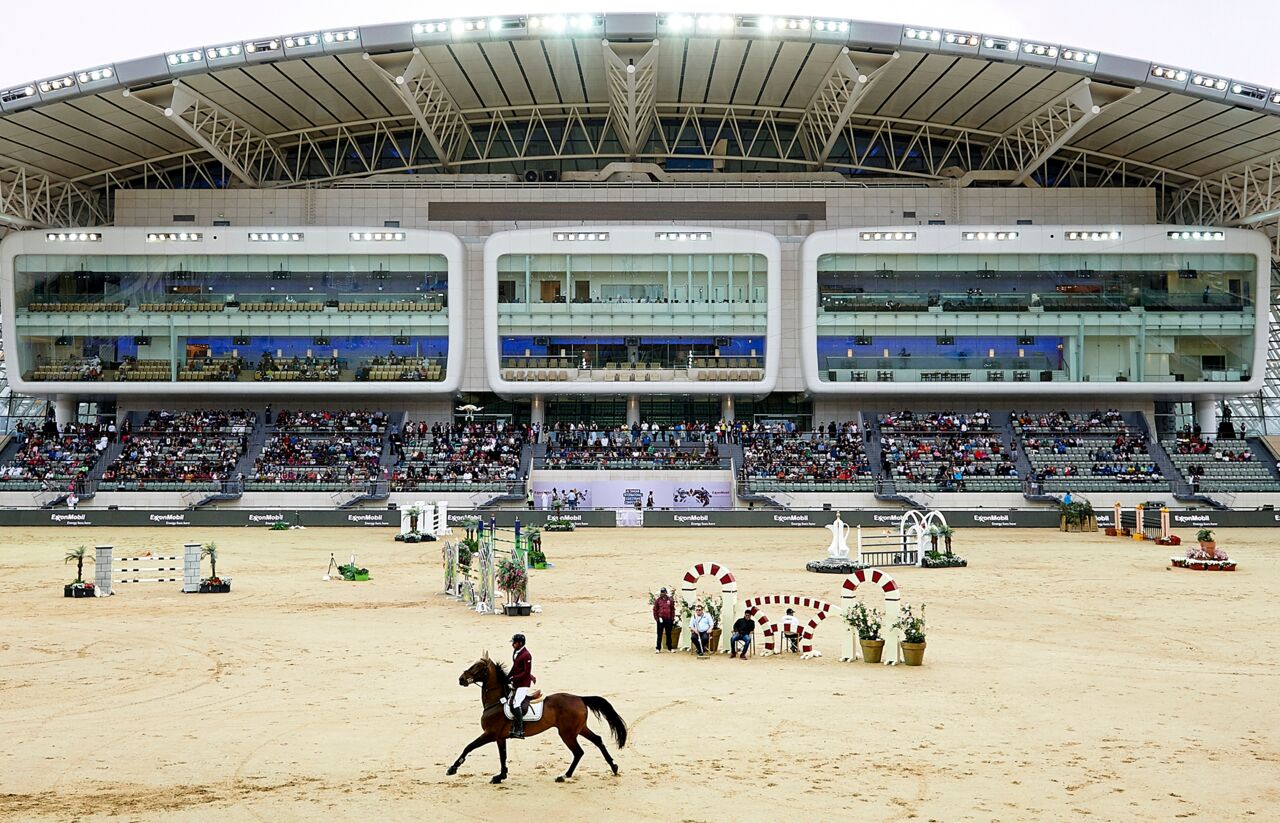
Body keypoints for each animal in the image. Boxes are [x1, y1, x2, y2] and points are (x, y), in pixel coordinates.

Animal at [448, 652, 627, 783]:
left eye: (478, 667)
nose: (461, 679)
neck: (497, 701)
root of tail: (580, 698)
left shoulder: (490, 734)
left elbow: (469, 747)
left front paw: (452, 768)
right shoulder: (500, 737)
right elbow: (503, 756)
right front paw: (501, 776)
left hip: (567, 733)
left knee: (579, 752)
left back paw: (564, 776)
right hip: (580, 729)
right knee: (597, 740)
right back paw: (614, 767)